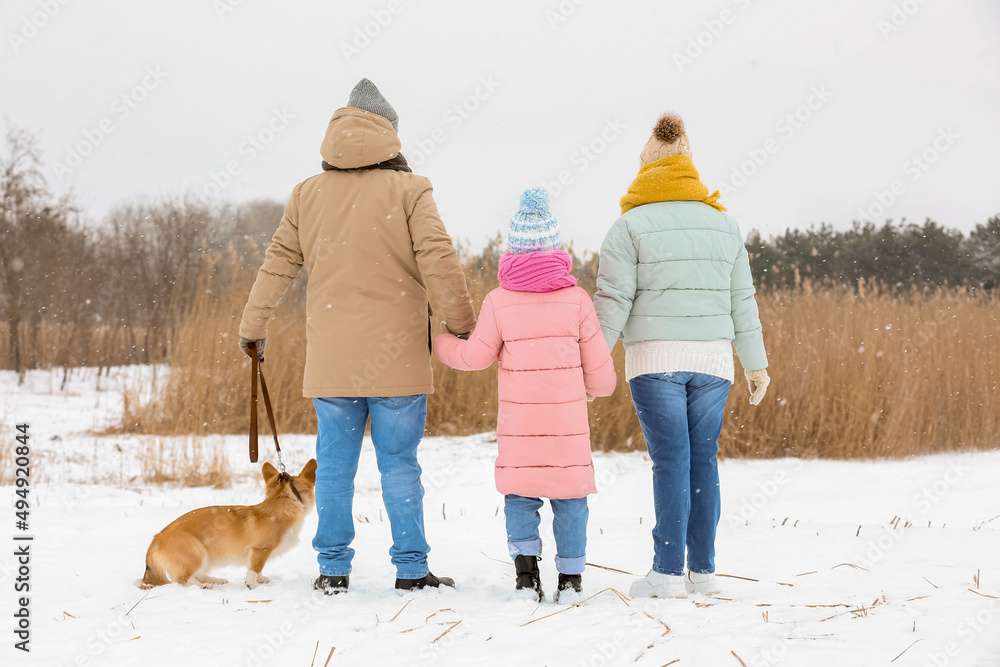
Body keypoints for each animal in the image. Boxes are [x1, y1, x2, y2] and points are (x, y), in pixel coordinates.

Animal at [136, 460, 316, 588]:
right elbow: (255, 568)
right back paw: (203, 586)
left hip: (207, 558)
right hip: (198, 553)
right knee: (182, 579)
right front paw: (252, 585)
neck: (281, 500)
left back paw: (216, 580)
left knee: (198, 575)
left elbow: (258, 569)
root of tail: (156, 538)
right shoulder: (261, 550)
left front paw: (260, 579)